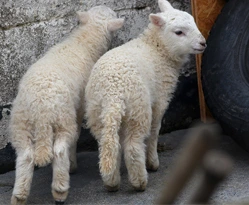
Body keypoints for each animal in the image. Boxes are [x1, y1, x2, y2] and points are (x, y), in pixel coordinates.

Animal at [9, 5, 124, 204]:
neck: (84, 42)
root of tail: (41, 110)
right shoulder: (79, 107)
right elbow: (77, 135)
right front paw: (72, 164)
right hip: (62, 118)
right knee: (59, 151)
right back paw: (60, 190)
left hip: (21, 123)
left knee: (26, 156)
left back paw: (19, 196)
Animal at [85, 0, 206, 192]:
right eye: (179, 32)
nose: (203, 43)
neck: (156, 48)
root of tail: (113, 93)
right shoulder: (161, 97)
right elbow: (155, 130)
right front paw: (152, 161)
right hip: (138, 107)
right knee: (133, 146)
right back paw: (140, 181)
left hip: (97, 112)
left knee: (109, 143)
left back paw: (111, 182)